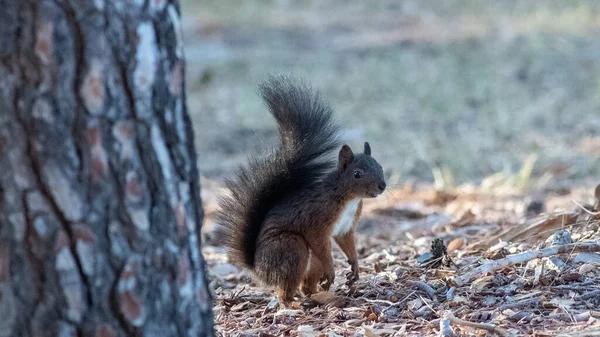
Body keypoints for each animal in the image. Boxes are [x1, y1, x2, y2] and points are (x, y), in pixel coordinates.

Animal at [218, 75, 386, 300]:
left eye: (380, 166)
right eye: (357, 174)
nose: (382, 186)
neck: (348, 198)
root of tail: (259, 270)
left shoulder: (346, 227)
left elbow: (347, 243)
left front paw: (355, 267)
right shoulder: (316, 220)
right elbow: (320, 243)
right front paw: (333, 269)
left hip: (308, 262)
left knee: (305, 286)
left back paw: (320, 295)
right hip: (292, 247)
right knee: (285, 291)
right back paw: (296, 302)